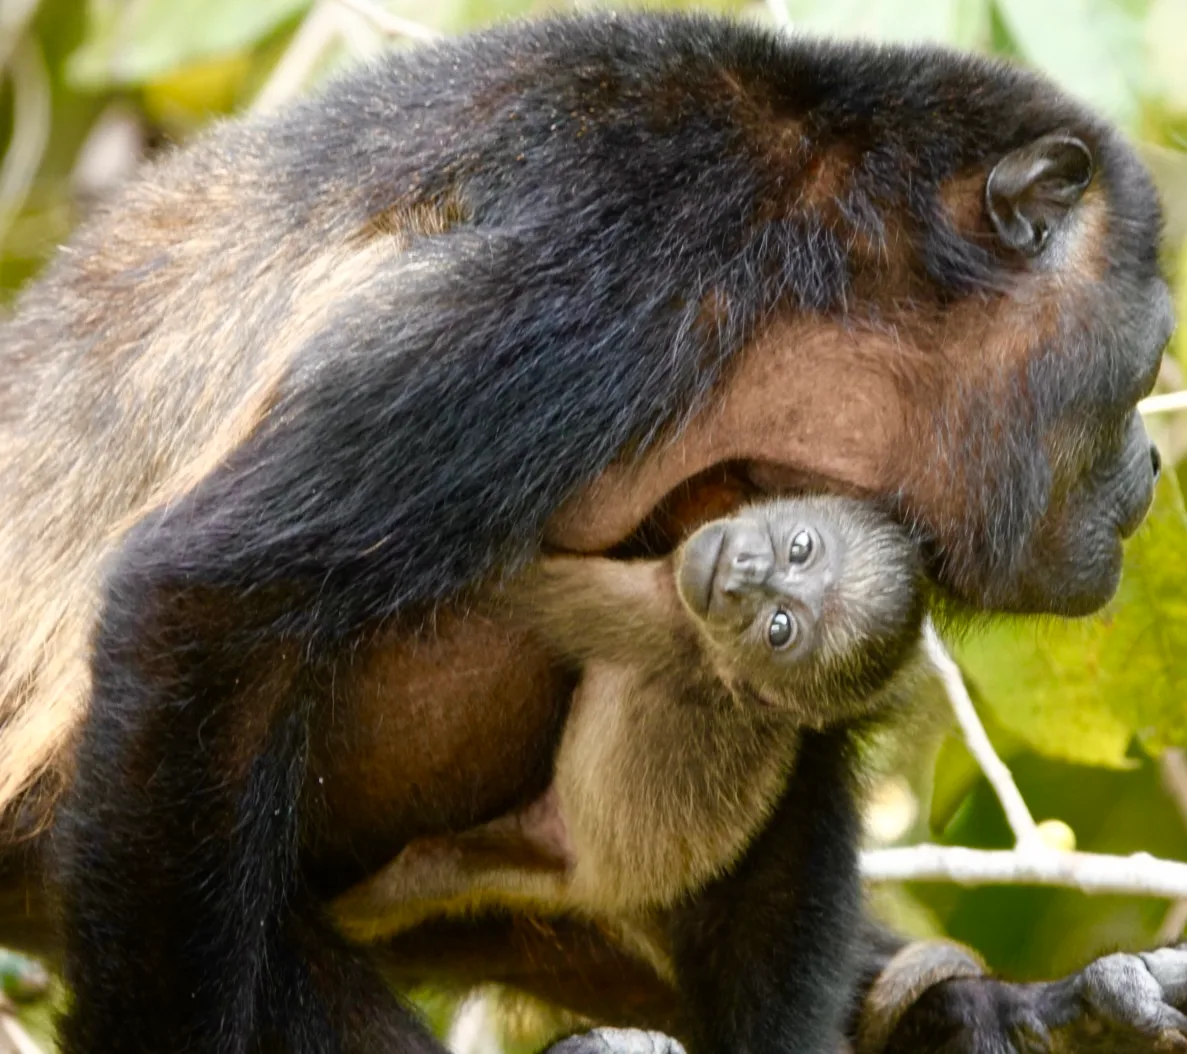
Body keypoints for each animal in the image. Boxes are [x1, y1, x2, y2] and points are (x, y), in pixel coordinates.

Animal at [334, 495, 925, 948]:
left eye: (778, 629)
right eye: (800, 547)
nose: (744, 577)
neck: (719, 665)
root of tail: (605, 893)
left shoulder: (648, 616)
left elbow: (512, 590)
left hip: (543, 869)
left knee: (427, 868)